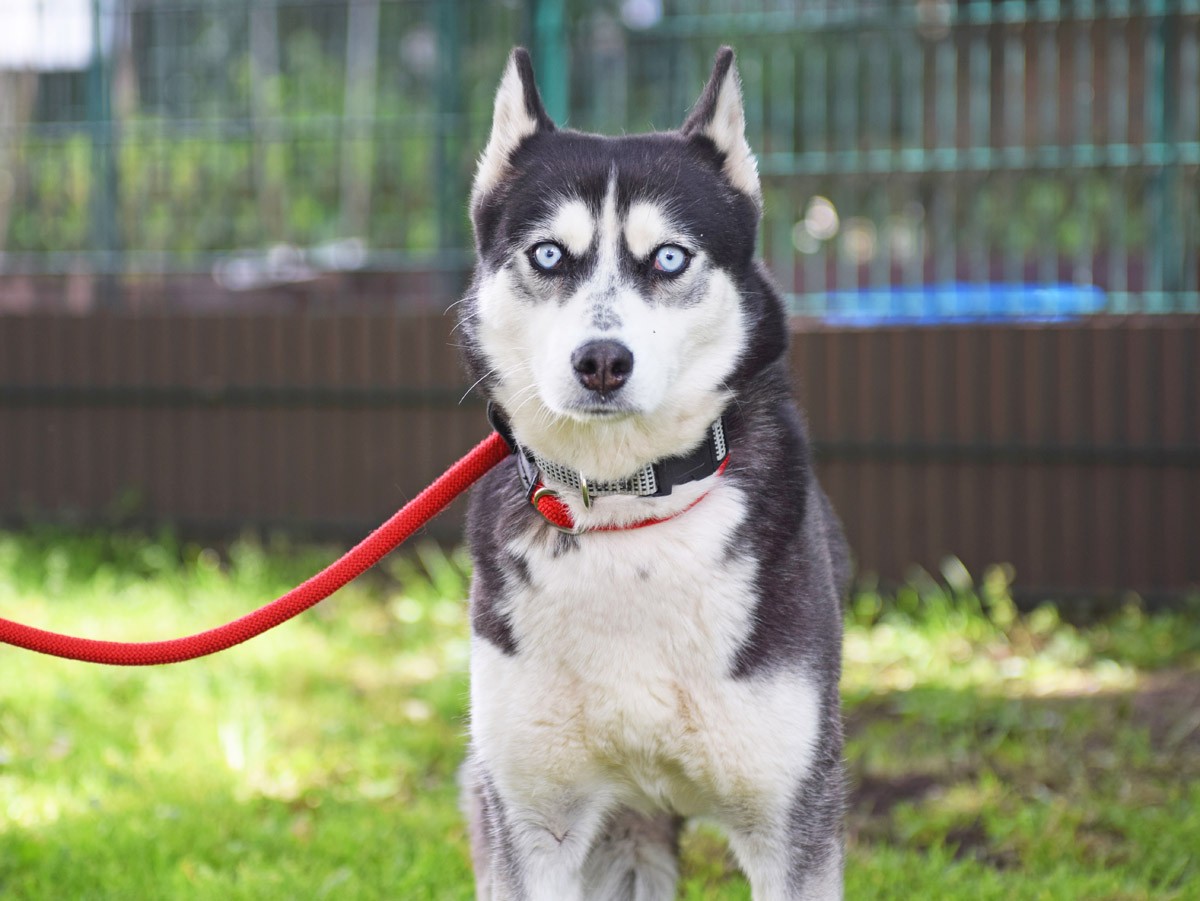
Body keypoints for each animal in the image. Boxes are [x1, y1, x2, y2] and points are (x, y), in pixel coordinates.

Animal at [453, 49, 849, 901]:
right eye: (549, 254)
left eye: (669, 257)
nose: (602, 361)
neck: (625, 505)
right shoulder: (534, 821)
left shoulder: (794, 823)